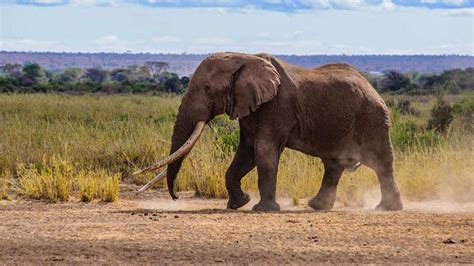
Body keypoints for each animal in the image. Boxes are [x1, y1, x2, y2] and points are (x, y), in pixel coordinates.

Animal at [133, 52, 404, 212]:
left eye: (207, 88)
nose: (176, 197)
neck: (243, 58)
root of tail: (372, 87)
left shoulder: (276, 107)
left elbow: (264, 152)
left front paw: (263, 209)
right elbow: (246, 154)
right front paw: (239, 204)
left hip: (373, 118)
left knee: (381, 162)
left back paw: (388, 209)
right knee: (334, 165)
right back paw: (318, 206)